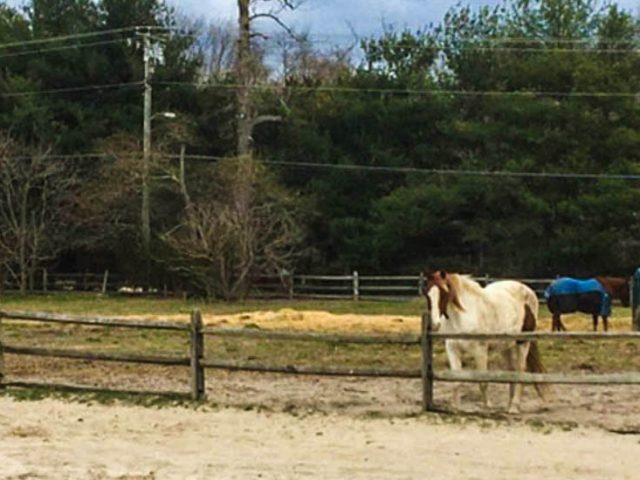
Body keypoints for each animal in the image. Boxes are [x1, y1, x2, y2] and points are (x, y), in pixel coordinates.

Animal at [422, 272, 548, 414]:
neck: (463, 316)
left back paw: (514, 407)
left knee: (520, 370)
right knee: (511, 370)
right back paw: (509, 405)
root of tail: (529, 291)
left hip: (523, 343)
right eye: (427, 293)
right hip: (506, 346)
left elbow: (483, 382)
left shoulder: (480, 350)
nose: (435, 324)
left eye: (444, 292)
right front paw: (455, 408)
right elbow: (456, 380)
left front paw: (487, 407)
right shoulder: (452, 348)